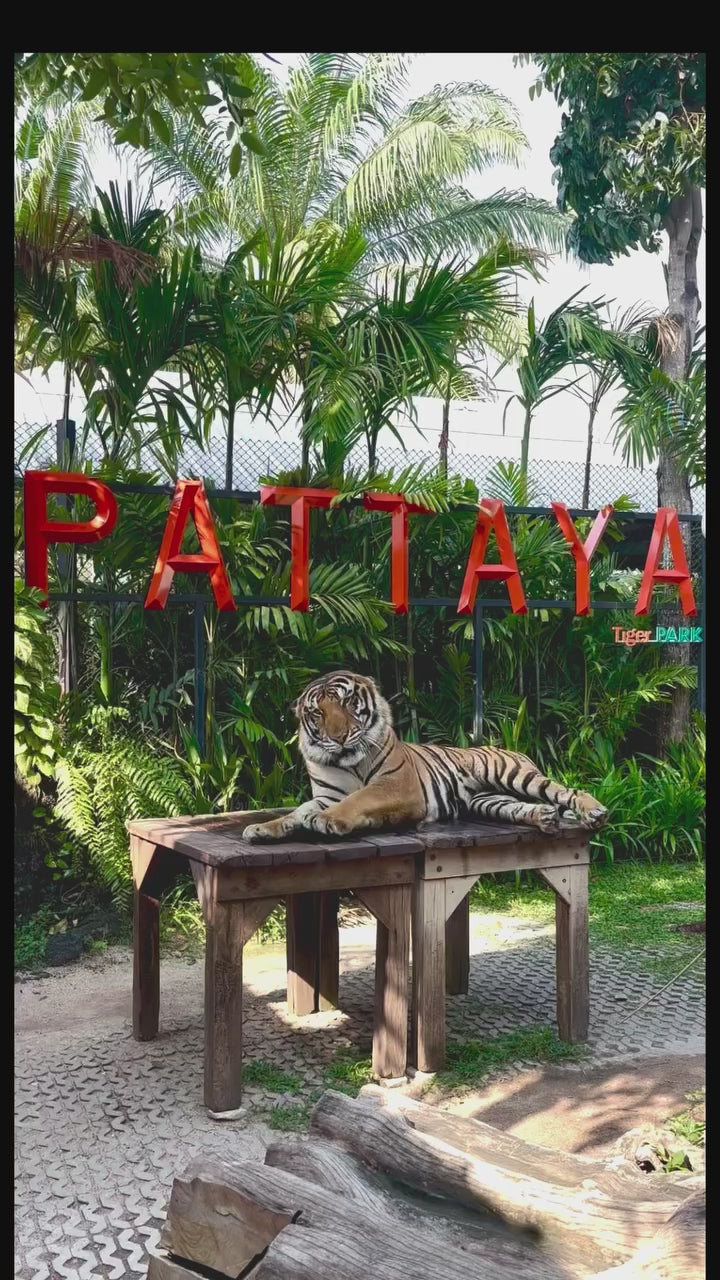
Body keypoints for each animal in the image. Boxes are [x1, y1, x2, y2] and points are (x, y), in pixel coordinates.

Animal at [243, 670, 609, 842]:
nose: (338, 737)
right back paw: (543, 818)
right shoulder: (326, 795)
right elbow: (296, 812)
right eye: (317, 713)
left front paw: (328, 821)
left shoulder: (397, 787)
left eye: (347, 703)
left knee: (567, 791)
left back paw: (595, 812)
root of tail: (505, 746)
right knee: (522, 807)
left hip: (515, 774)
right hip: (489, 800)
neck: (349, 762)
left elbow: (357, 800)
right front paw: (262, 828)